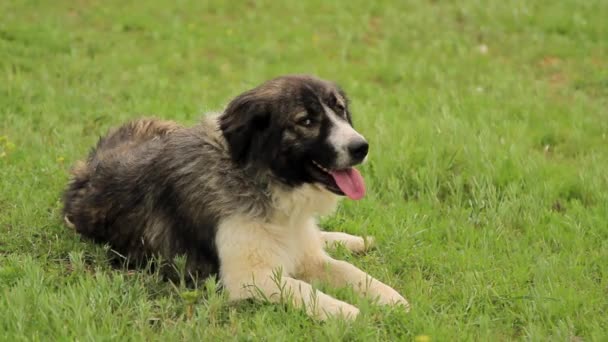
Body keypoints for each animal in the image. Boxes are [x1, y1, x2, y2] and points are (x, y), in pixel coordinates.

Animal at [63, 75, 408, 320]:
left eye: (340, 110)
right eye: (306, 121)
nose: (361, 147)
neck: (261, 180)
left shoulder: (308, 257)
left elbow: (351, 272)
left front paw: (391, 298)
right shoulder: (249, 278)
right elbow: (302, 288)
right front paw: (348, 313)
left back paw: (353, 240)